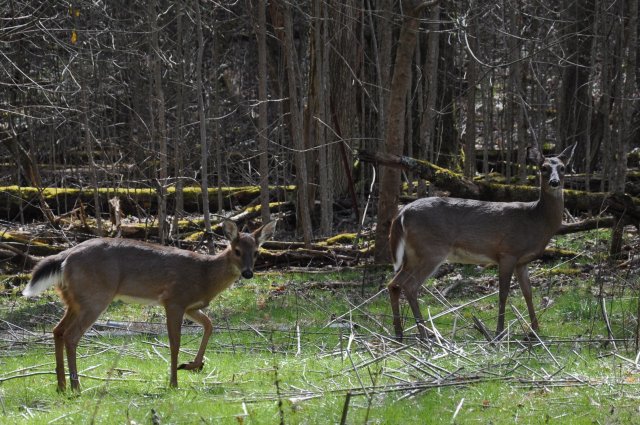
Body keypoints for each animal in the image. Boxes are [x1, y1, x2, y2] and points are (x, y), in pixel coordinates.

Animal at [21, 220, 278, 390]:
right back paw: (76, 386)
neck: (205, 275)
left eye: (257, 252)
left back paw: (61, 386)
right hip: (95, 296)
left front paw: (192, 365)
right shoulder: (174, 299)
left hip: (75, 299)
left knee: (57, 330)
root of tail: (64, 258)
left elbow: (209, 325)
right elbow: (175, 342)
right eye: (237, 251)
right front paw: (174, 382)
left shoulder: (191, 306)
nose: (248, 273)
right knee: (71, 335)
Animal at [388, 145, 576, 342]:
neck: (536, 219)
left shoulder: (522, 261)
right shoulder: (508, 252)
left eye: (563, 168)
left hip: (413, 254)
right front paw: (499, 332)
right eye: (543, 168)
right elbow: (503, 293)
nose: (555, 182)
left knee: (394, 284)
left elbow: (528, 293)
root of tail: (402, 213)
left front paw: (536, 331)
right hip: (430, 250)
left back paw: (400, 333)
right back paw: (424, 334)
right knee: (410, 285)